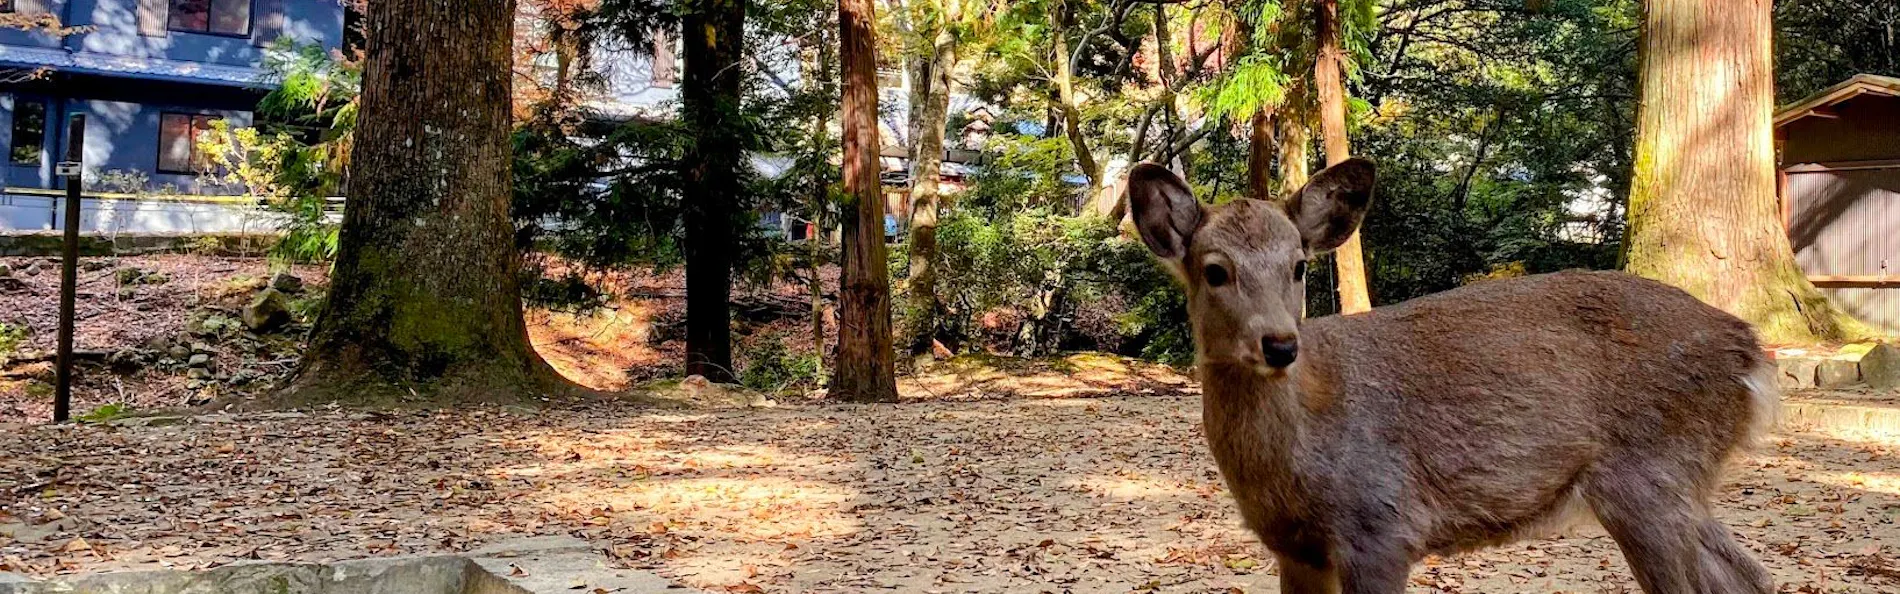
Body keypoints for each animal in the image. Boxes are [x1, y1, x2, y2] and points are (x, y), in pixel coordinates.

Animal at [1125, 158, 1778, 594]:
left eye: (1299, 266)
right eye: (1215, 270)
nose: (1282, 344)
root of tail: (1750, 351)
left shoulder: (1381, 522)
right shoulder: (1295, 549)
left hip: (1651, 475)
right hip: (1677, 483)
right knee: (1751, 576)